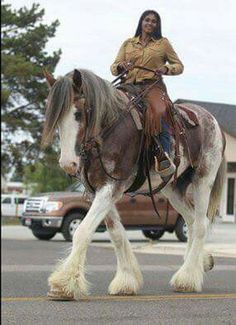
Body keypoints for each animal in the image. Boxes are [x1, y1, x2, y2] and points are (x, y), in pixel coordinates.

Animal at [42, 67, 227, 298]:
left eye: (78, 114)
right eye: (56, 119)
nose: (68, 164)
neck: (108, 131)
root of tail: (213, 121)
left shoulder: (111, 187)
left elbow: (82, 231)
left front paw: (64, 284)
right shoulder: (98, 190)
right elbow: (116, 233)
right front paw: (126, 280)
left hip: (203, 179)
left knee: (201, 224)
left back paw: (187, 279)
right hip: (173, 189)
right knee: (192, 221)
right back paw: (201, 262)